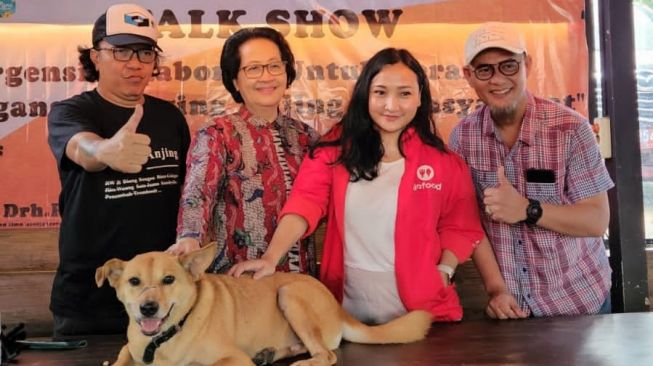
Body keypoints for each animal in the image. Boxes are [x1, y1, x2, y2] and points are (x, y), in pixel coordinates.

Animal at [95, 243, 432, 366]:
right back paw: (271, 353)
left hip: (288, 294)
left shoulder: (231, 359)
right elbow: (122, 357)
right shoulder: (131, 347)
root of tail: (339, 309)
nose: (148, 308)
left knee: (326, 355)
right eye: (134, 281)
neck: (164, 339)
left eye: (168, 280)